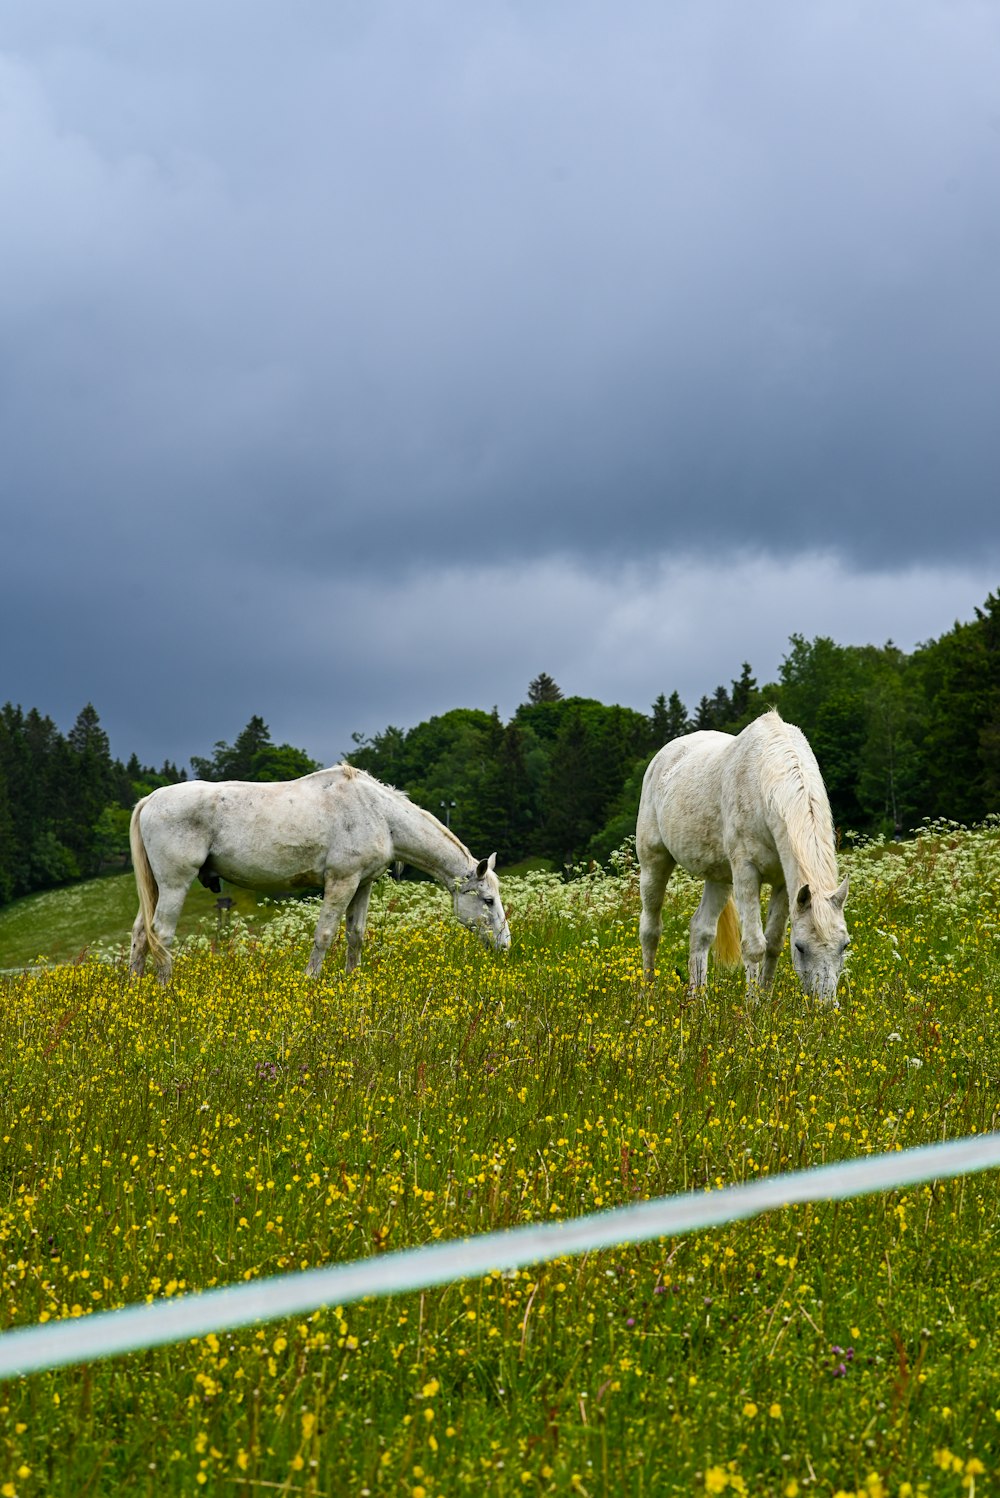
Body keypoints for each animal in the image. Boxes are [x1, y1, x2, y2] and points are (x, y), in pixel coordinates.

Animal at [128, 766, 511, 988]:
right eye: (488, 900)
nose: (505, 946)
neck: (379, 814)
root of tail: (150, 799)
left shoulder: (362, 884)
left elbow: (356, 935)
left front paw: (352, 979)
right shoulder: (341, 881)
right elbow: (325, 934)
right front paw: (311, 981)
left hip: (157, 888)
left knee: (141, 934)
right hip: (175, 884)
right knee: (161, 933)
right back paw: (164, 989)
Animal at [637, 710, 850, 1000]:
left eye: (844, 945)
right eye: (801, 947)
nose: (825, 1004)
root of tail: (662, 758)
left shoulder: (784, 882)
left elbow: (773, 944)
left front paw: (766, 999)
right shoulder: (747, 873)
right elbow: (754, 945)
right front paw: (753, 1005)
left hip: (719, 878)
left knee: (701, 929)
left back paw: (698, 998)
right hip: (653, 863)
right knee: (650, 929)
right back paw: (647, 994)